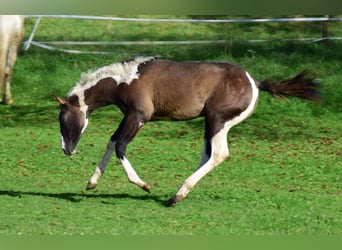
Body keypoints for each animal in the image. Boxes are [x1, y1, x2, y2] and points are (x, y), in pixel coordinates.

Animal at [56, 57, 320, 207]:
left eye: (62, 119)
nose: (66, 150)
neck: (125, 79)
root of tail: (255, 83)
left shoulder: (138, 116)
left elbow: (120, 146)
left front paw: (143, 185)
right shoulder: (129, 115)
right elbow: (112, 142)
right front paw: (92, 182)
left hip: (217, 120)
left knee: (218, 154)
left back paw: (176, 196)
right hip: (211, 124)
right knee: (207, 155)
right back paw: (176, 193)